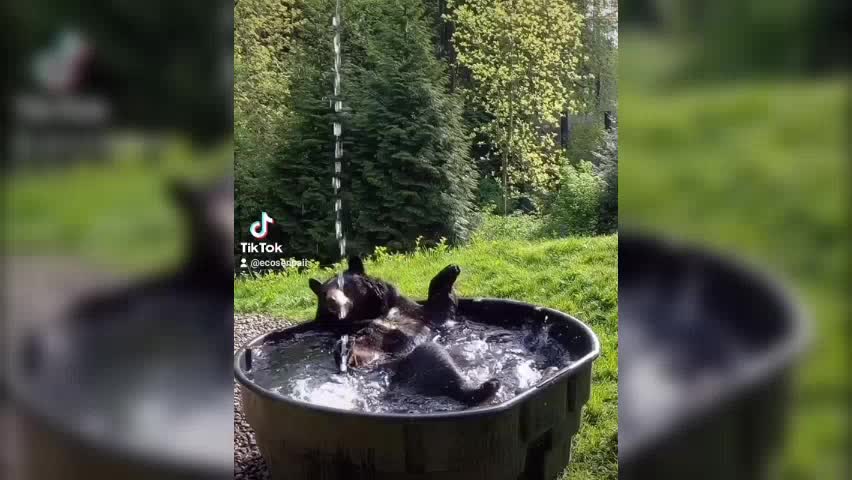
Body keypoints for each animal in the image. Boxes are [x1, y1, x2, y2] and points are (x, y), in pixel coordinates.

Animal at [310, 260, 500, 406]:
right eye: (324, 293)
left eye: (344, 285)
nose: (332, 300)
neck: (370, 312)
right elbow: (362, 349)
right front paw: (345, 347)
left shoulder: (415, 313)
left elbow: (439, 308)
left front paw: (450, 269)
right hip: (410, 365)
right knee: (435, 358)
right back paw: (486, 386)